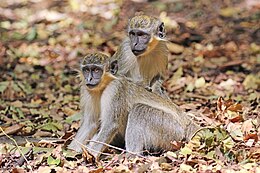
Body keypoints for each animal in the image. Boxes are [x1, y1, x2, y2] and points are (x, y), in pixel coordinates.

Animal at [69, 52, 199, 158]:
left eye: (96, 70)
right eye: (86, 70)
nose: (89, 79)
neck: (103, 86)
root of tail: (186, 122)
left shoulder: (115, 88)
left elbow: (111, 124)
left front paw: (91, 155)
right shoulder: (86, 90)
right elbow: (90, 124)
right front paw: (70, 152)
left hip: (171, 130)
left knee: (139, 110)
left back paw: (131, 156)